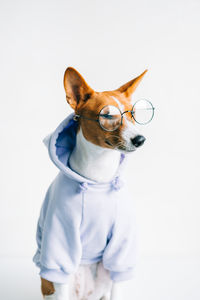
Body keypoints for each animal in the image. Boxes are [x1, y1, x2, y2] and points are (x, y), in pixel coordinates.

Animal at [33, 67, 152, 298]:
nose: (140, 140)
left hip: (104, 271)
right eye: (107, 115)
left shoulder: (120, 251)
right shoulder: (59, 242)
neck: (98, 178)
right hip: (57, 279)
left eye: (132, 114)